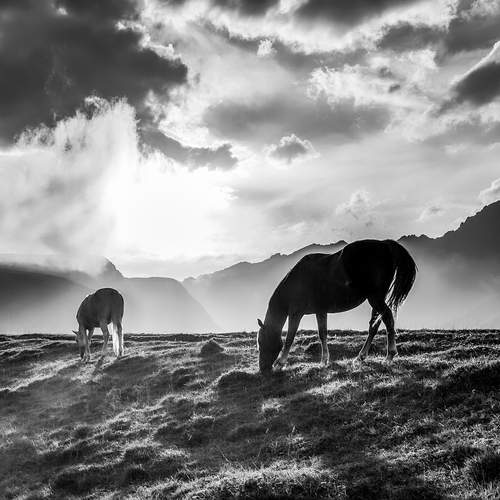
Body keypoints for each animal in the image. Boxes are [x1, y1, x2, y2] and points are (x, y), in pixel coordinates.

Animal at [257, 239, 417, 373]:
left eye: (260, 341)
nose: (263, 369)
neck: (297, 281)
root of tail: (385, 244)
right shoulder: (320, 311)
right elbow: (322, 334)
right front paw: (324, 361)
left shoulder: (296, 313)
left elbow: (290, 337)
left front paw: (280, 363)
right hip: (376, 299)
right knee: (374, 325)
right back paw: (360, 357)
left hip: (375, 298)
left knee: (388, 319)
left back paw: (389, 356)